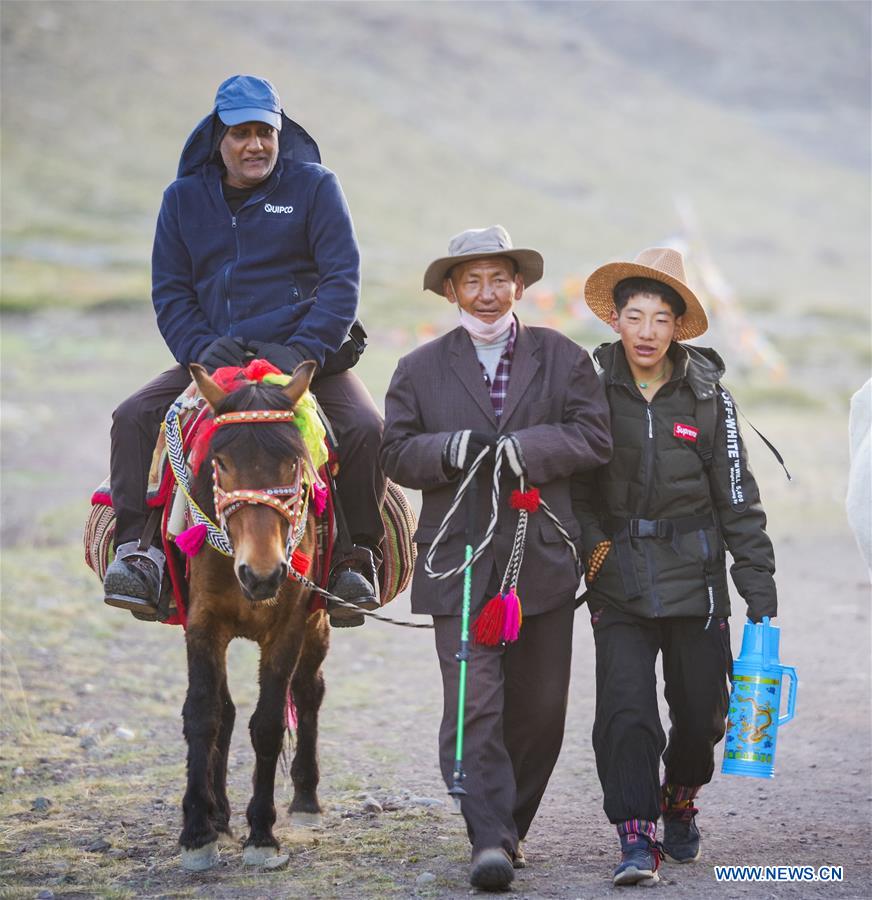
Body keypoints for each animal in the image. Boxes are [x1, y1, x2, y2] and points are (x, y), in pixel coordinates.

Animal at [179, 360, 328, 872]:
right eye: (222, 462)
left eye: (293, 463)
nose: (262, 575)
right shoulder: (202, 624)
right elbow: (204, 715)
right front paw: (197, 831)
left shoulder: (289, 627)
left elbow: (267, 725)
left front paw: (262, 833)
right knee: (224, 710)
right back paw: (219, 815)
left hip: (317, 624)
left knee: (309, 692)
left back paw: (305, 800)